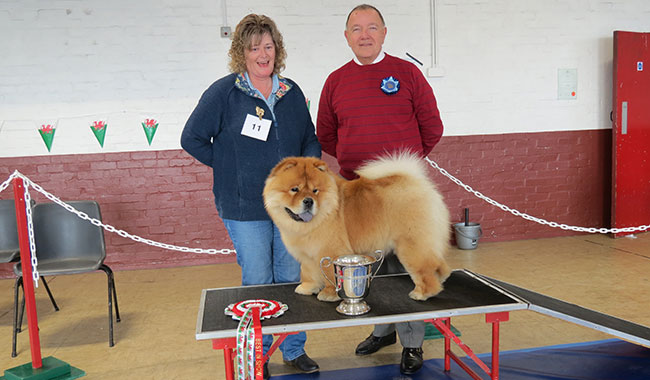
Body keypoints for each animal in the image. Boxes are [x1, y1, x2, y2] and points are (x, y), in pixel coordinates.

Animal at [260, 153, 448, 302]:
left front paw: (329, 294)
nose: (308, 201)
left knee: (425, 268)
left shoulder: (330, 251)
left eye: (315, 191)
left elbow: (330, 276)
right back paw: (442, 278)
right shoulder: (308, 255)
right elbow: (308, 273)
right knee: (438, 262)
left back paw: (422, 293)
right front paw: (307, 288)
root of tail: (416, 183)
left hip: (410, 245)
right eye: (294, 189)